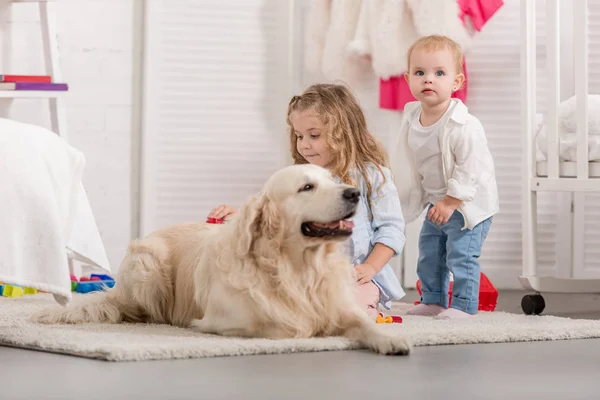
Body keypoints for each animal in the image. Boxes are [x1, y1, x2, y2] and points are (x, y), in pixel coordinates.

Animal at [31, 164, 408, 354]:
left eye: (333, 180)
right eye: (306, 187)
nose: (354, 192)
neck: (296, 267)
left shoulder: (338, 305)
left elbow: (362, 322)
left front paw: (391, 339)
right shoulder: (222, 320)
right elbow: (284, 325)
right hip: (147, 265)